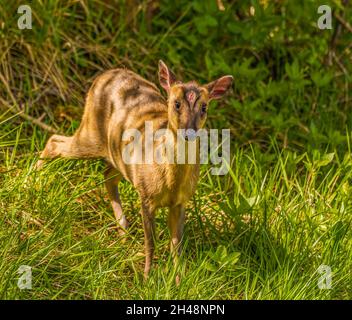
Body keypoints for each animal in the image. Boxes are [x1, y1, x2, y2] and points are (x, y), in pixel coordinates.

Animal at [37, 61, 232, 282]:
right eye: (176, 103)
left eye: (204, 106)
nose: (189, 132)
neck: (171, 182)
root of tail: (105, 74)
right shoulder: (146, 196)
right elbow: (151, 242)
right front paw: (147, 278)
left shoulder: (181, 201)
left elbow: (176, 246)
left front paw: (178, 280)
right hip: (91, 133)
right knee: (55, 141)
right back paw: (33, 180)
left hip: (117, 156)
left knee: (107, 176)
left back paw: (123, 230)